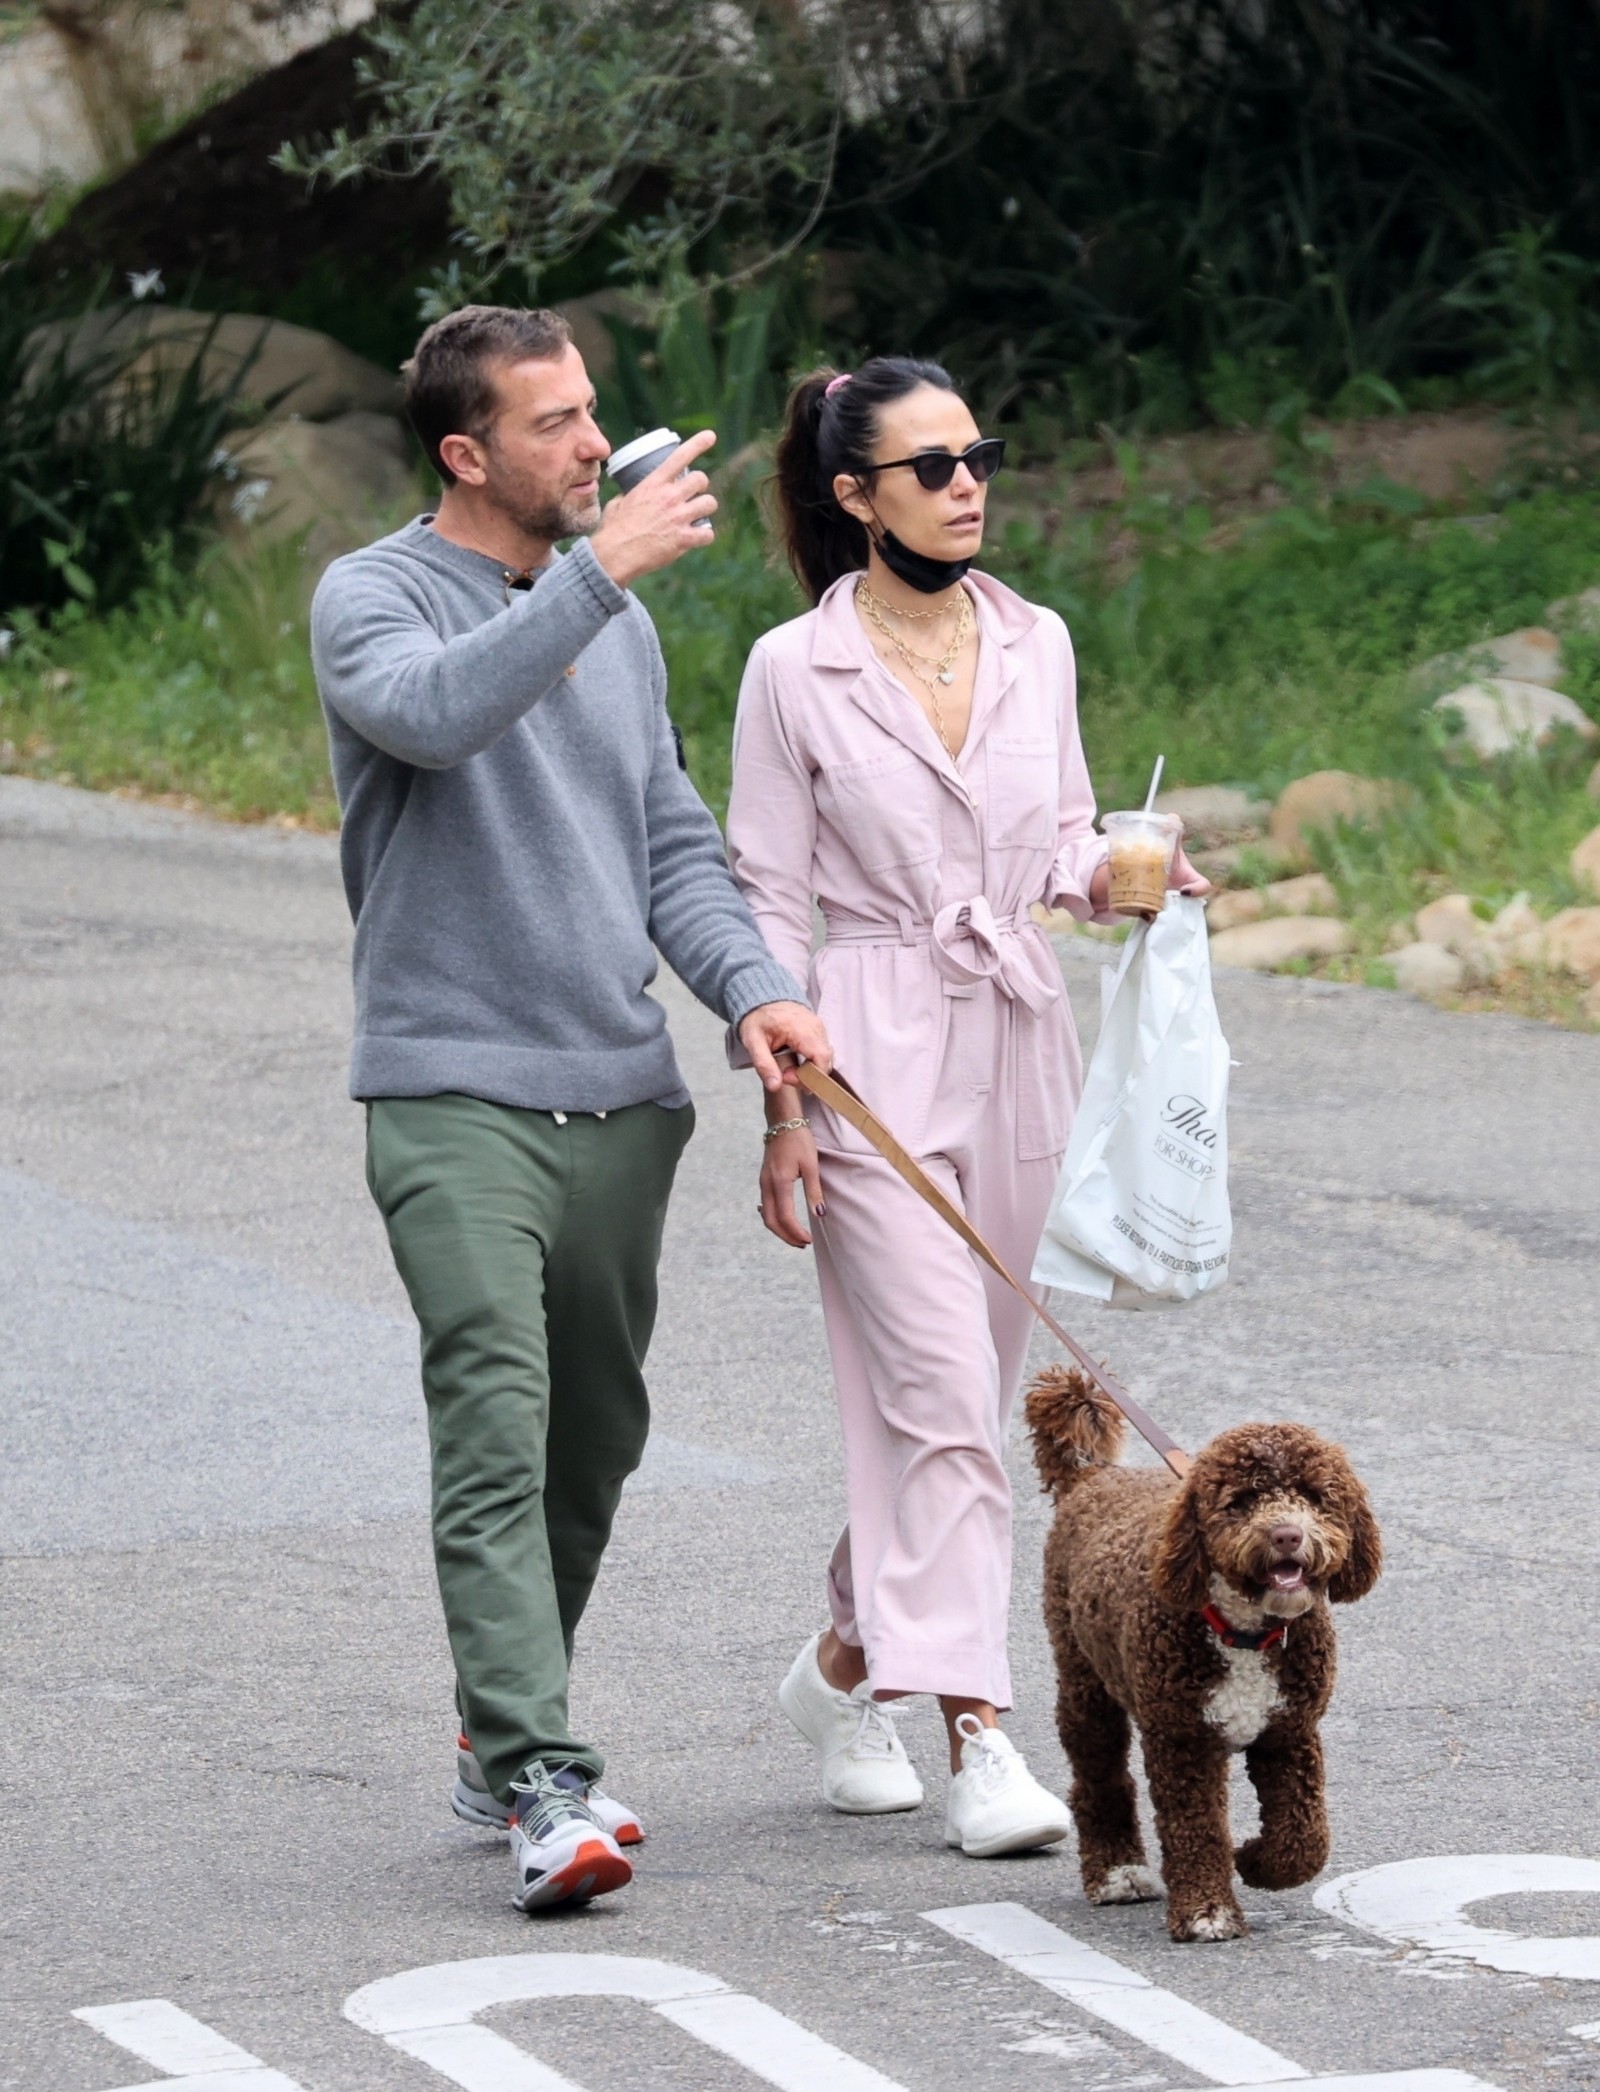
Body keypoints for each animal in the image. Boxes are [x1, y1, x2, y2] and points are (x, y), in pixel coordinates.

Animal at [1025, 1366, 1381, 1942]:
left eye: (1314, 1495)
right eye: (1243, 1500)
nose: (1288, 1535)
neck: (1245, 1632)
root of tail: (1093, 1476)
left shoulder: (1291, 1732)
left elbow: (1303, 1838)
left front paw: (1255, 1859)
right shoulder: (1182, 1740)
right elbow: (1196, 1831)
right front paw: (1206, 1911)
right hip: (1085, 1682)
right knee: (1099, 1778)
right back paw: (1117, 1872)